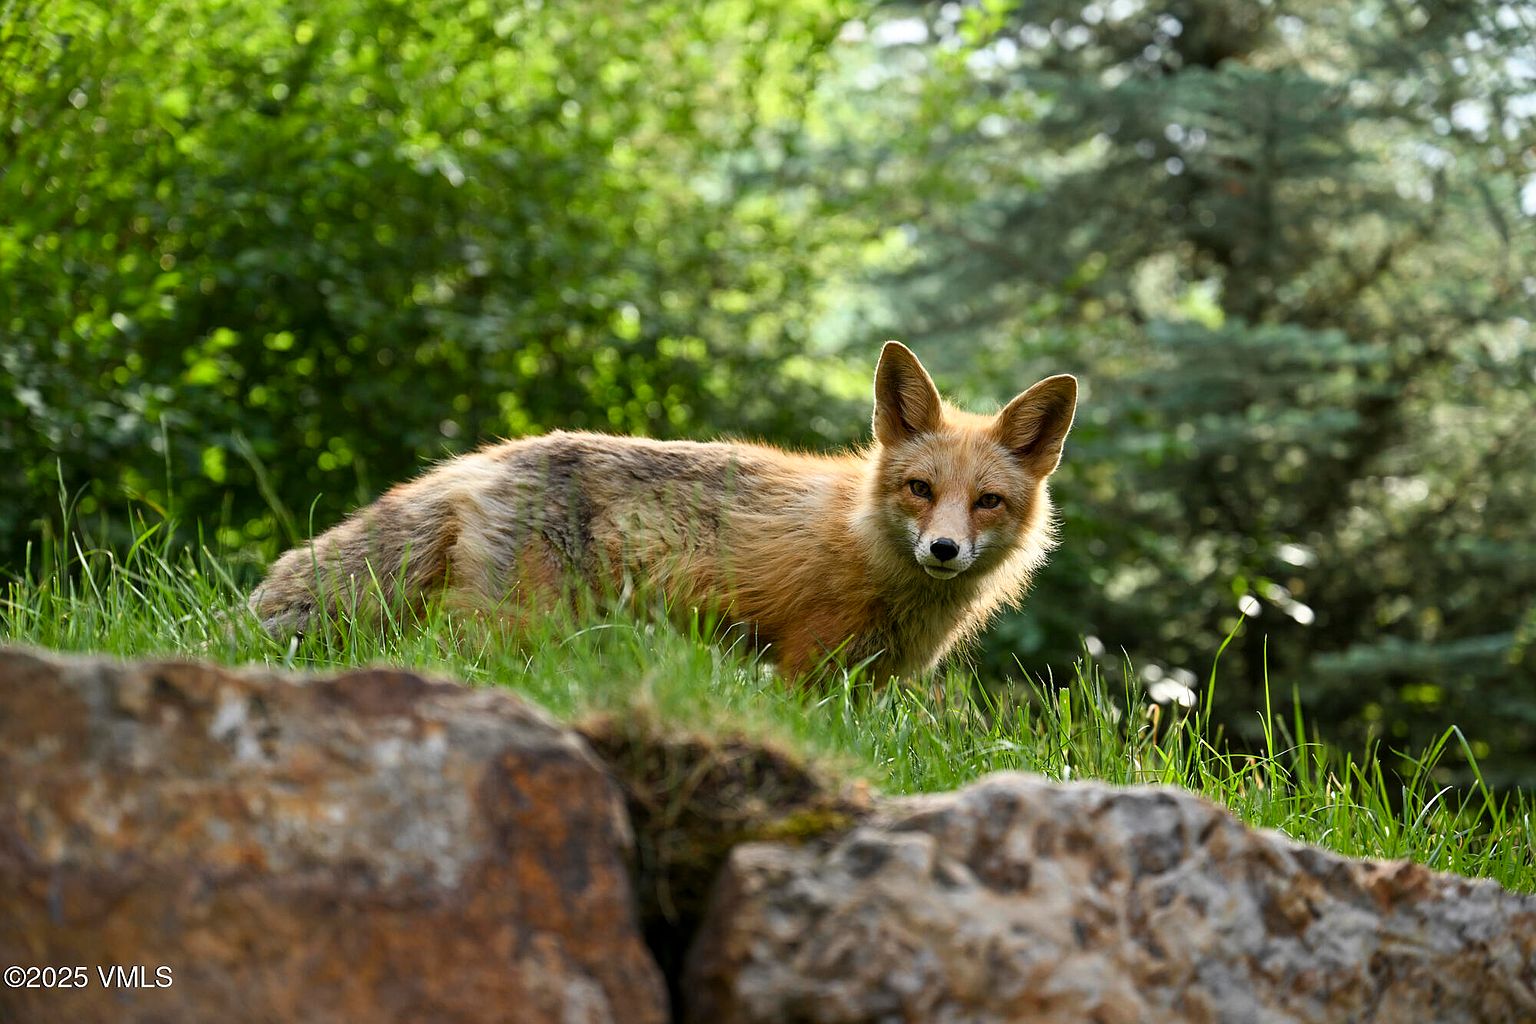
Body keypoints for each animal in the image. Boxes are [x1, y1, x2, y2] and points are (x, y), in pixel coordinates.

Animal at [249, 342, 1077, 682]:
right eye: (919, 490)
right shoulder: (806, 662)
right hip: (520, 626)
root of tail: (486, 456)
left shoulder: (867, 682)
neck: (864, 540)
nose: (944, 550)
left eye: (987, 502)